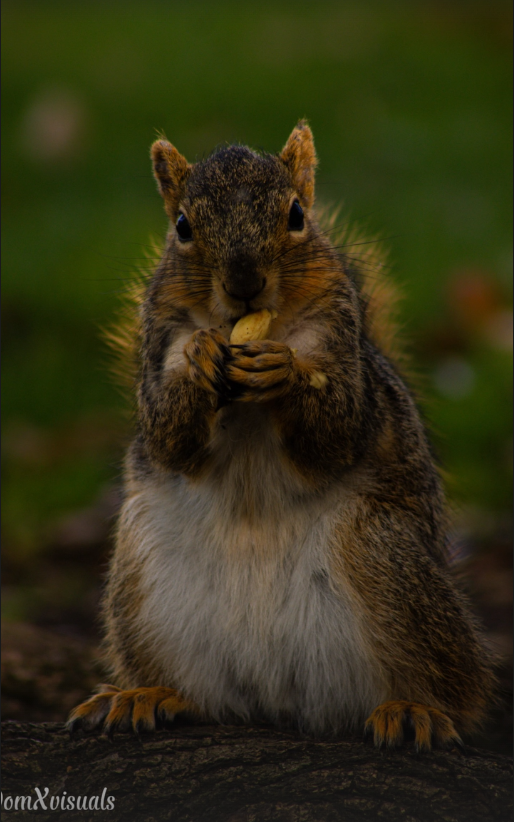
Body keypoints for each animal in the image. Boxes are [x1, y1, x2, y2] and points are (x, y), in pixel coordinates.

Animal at [68, 121, 494, 749]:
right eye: (182, 227)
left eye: (296, 215)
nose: (244, 281)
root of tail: (275, 702)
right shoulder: (159, 341)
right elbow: (168, 436)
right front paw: (198, 361)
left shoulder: (344, 352)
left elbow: (336, 428)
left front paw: (285, 372)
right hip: (139, 582)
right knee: (199, 694)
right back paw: (147, 694)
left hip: (386, 561)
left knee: (456, 685)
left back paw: (415, 708)